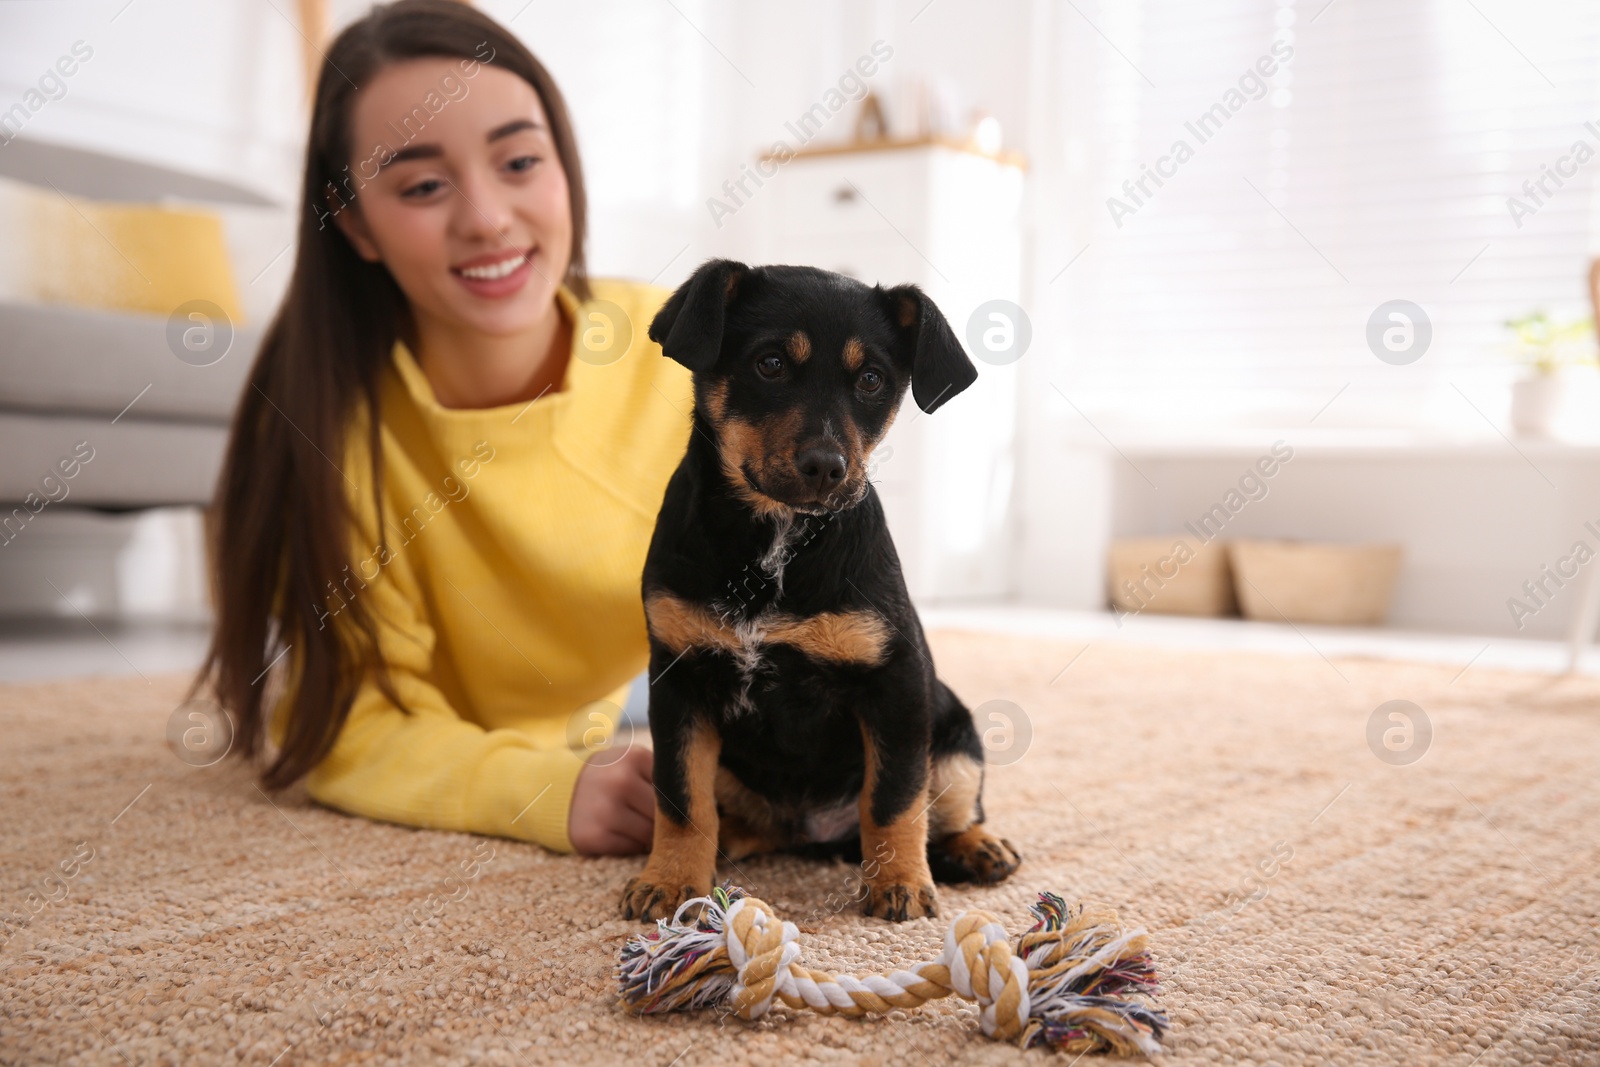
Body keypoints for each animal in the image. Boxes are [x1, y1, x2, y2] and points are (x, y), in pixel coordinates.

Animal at [617, 260, 1017, 927]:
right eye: (770, 363)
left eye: (873, 380)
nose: (827, 466)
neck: (777, 541)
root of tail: (821, 834)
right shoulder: (677, 681)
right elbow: (680, 800)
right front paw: (671, 882)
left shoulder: (896, 683)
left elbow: (893, 797)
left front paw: (900, 884)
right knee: (745, 820)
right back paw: (731, 843)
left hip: (956, 738)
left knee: (949, 808)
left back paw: (977, 847)